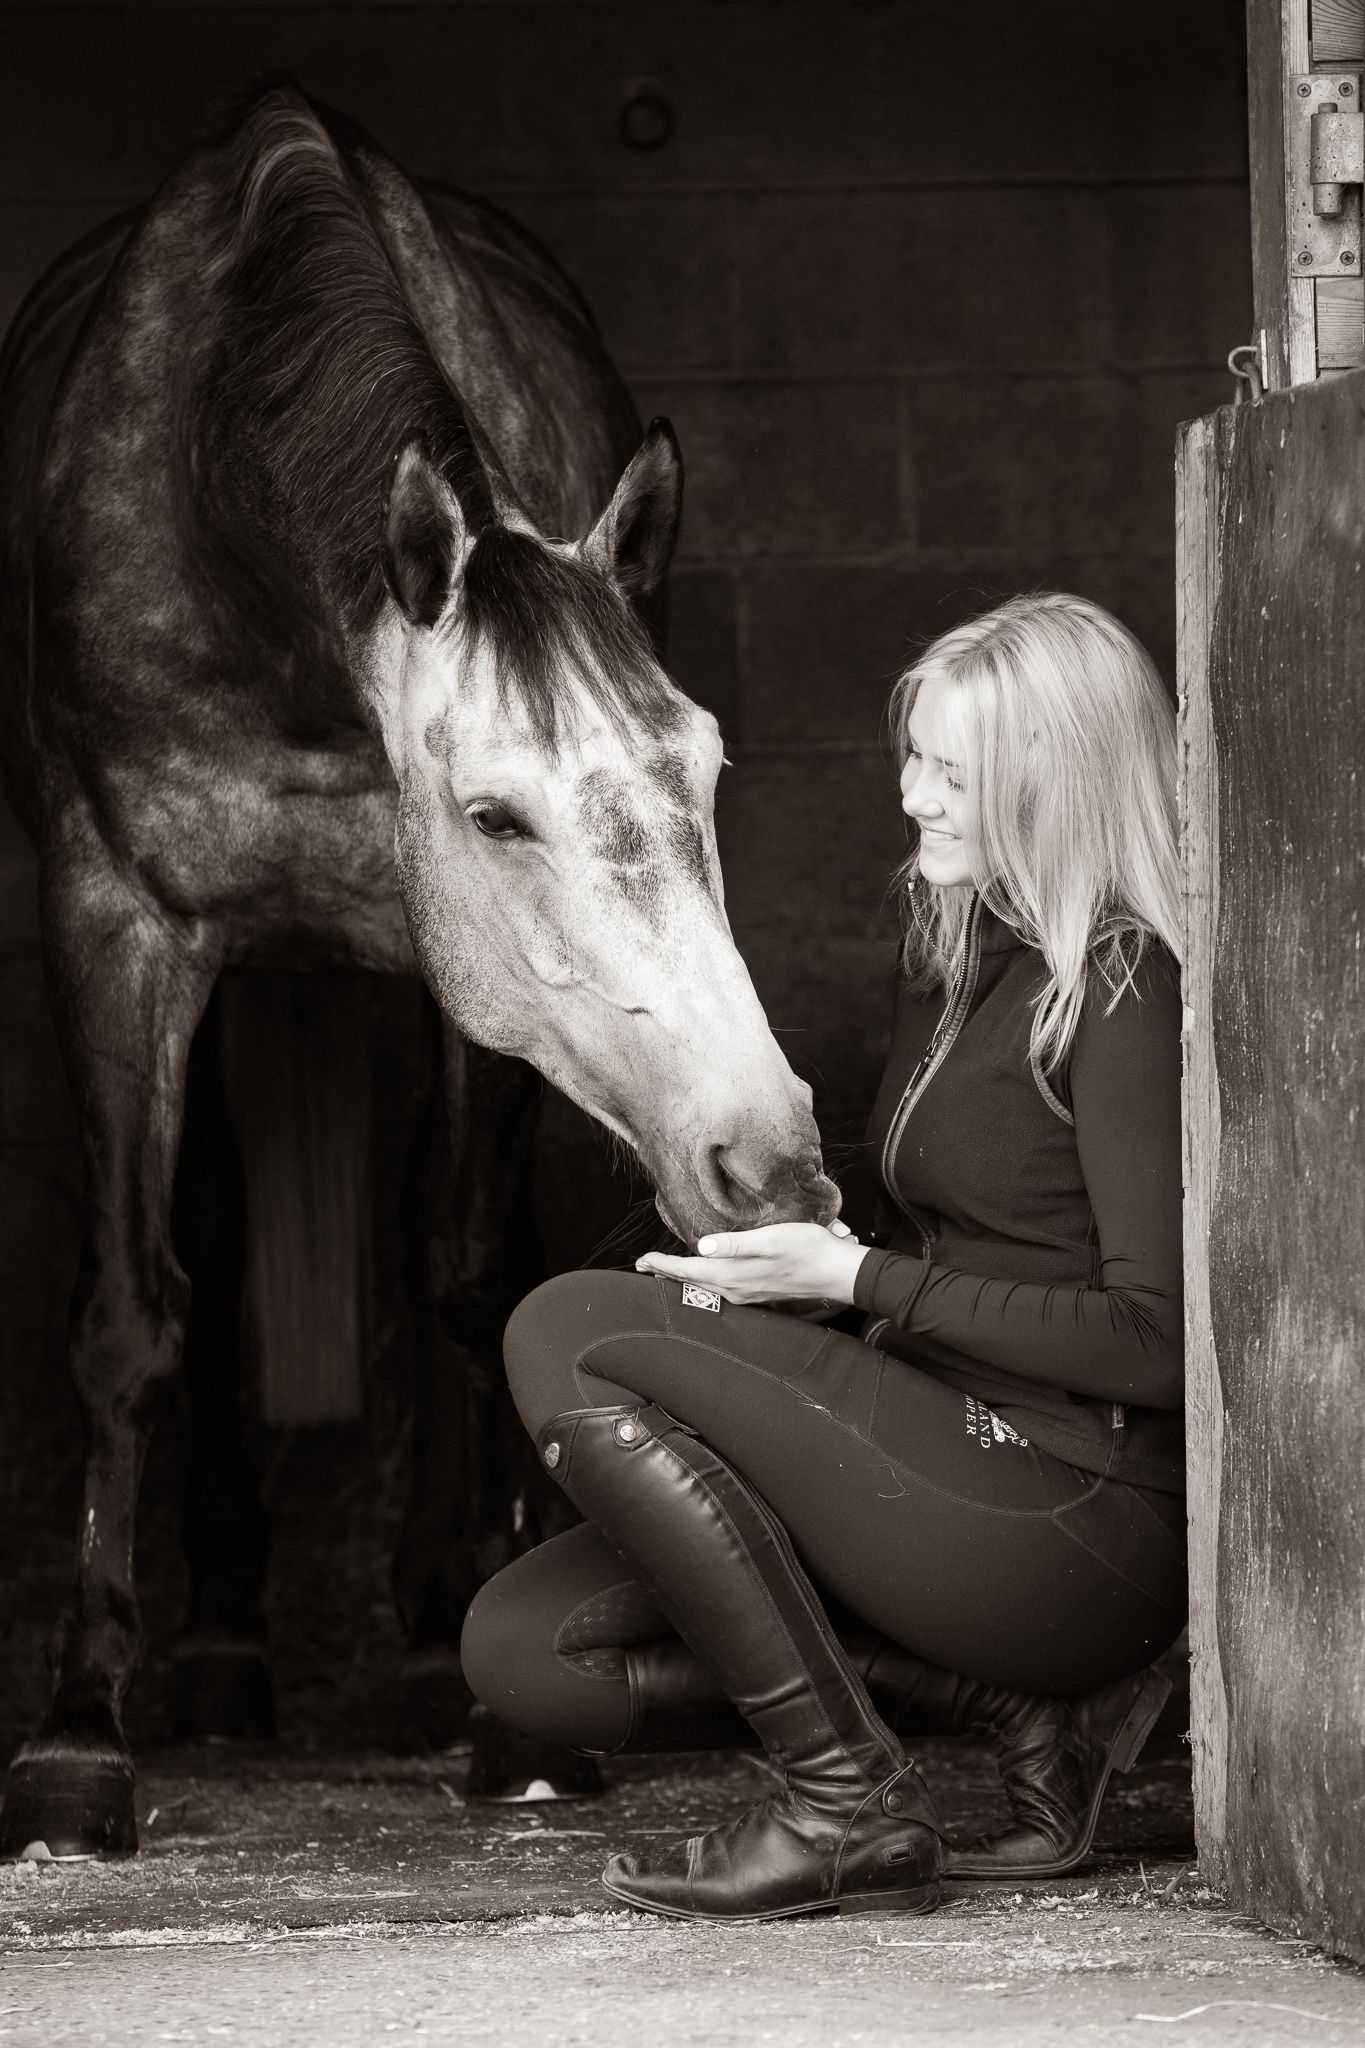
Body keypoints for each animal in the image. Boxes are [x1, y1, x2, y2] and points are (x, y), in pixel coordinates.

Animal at [0, 80, 838, 1858]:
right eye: (494, 814)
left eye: (708, 771)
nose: (769, 1164)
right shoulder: (112, 919)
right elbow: (128, 1312)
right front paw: (80, 1730)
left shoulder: (458, 987)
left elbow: (465, 1279)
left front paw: (495, 1704)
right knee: (206, 1234)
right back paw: (220, 1651)